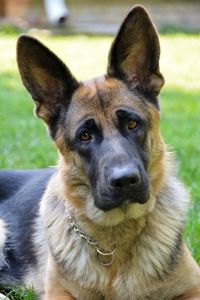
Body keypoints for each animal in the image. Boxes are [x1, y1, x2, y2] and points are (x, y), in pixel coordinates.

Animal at [0, 5, 200, 300]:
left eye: (132, 123)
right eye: (85, 136)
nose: (125, 180)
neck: (116, 242)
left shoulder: (193, 286)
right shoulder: (58, 292)